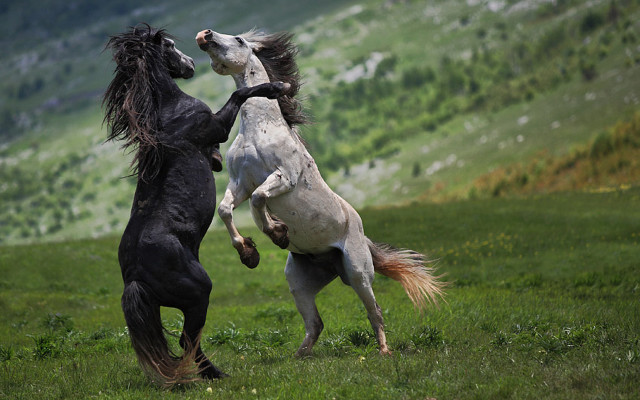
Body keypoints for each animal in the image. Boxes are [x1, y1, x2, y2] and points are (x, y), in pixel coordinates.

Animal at [102, 24, 289, 385]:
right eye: (171, 46)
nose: (189, 64)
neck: (169, 112)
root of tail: (135, 277)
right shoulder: (215, 125)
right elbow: (239, 96)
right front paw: (275, 87)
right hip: (199, 292)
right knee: (187, 339)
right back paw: (213, 375)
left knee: (187, 340)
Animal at [196, 28, 446, 356]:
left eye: (238, 40)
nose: (206, 35)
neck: (260, 129)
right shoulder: (240, 183)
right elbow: (226, 209)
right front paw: (249, 253)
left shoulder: (284, 177)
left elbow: (260, 199)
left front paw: (277, 233)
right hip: (298, 281)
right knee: (315, 323)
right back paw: (300, 356)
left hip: (358, 273)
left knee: (374, 311)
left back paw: (383, 351)